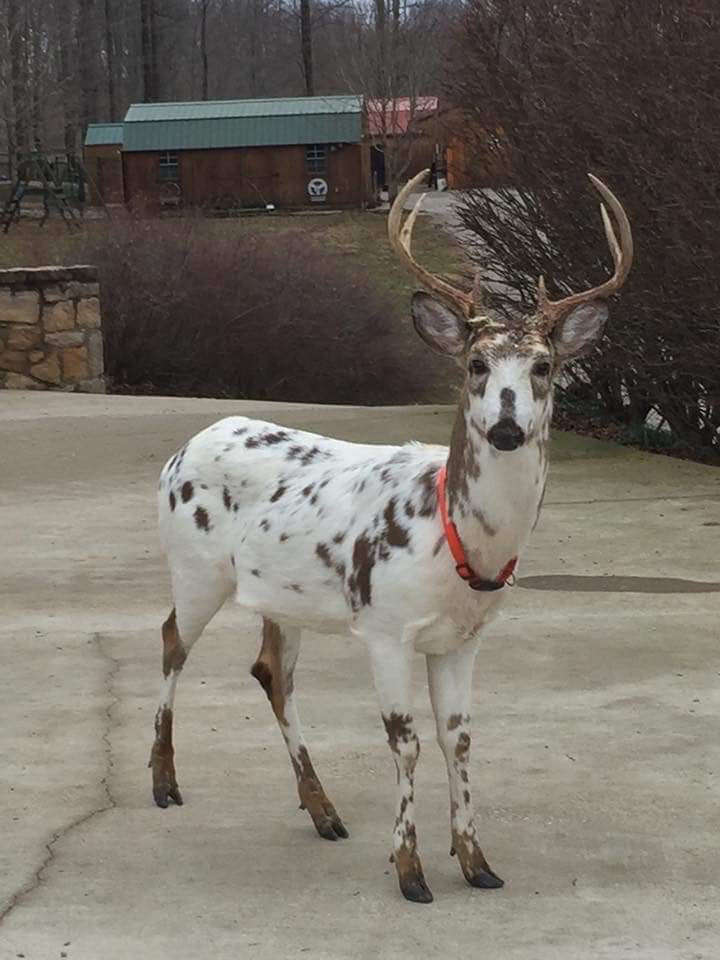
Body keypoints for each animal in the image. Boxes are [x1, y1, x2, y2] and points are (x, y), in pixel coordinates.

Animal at [150, 169, 633, 903]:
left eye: (544, 366)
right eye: (475, 364)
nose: (507, 428)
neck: (457, 542)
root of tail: (183, 448)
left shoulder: (463, 638)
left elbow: (458, 739)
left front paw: (477, 862)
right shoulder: (383, 625)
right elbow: (405, 742)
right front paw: (410, 871)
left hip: (282, 596)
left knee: (270, 671)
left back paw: (323, 811)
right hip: (196, 564)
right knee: (173, 640)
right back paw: (164, 782)